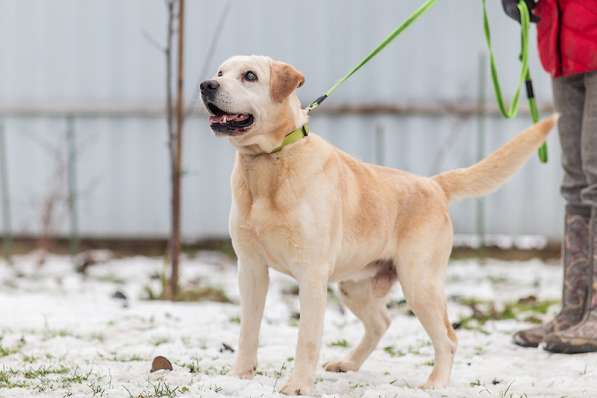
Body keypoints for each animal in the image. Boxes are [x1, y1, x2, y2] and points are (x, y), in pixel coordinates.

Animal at [200, 55, 560, 394]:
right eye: (220, 73)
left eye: (250, 76)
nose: (206, 85)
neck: (268, 164)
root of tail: (434, 185)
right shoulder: (251, 269)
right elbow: (248, 330)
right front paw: (241, 375)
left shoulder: (311, 275)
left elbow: (307, 339)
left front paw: (299, 386)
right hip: (354, 286)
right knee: (381, 323)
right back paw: (349, 363)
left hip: (419, 283)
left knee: (447, 337)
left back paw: (436, 383)